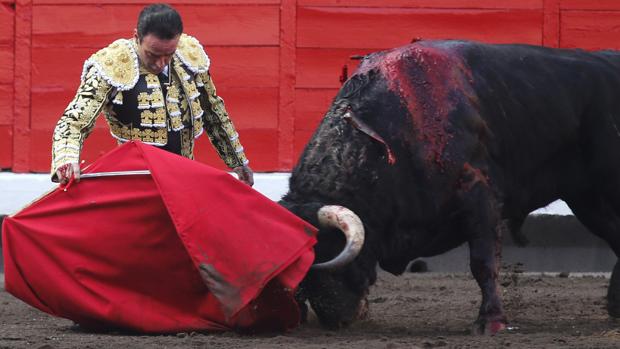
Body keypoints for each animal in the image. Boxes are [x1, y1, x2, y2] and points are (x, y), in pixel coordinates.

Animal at [280, 40, 620, 334]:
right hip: (587, 199)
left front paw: (490, 322)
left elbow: (483, 261)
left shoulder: (478, 194)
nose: (336, 320)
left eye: (327, 253)